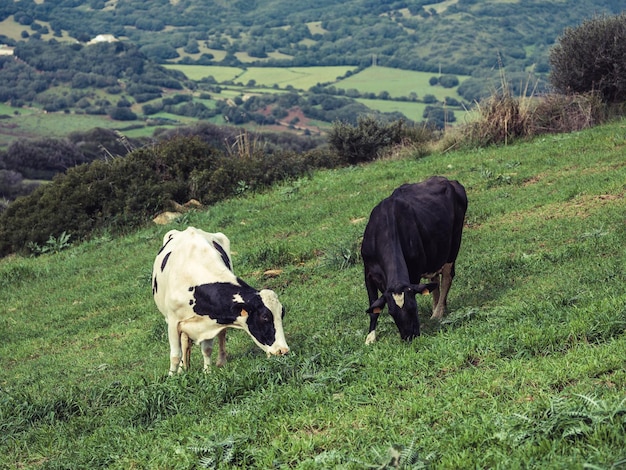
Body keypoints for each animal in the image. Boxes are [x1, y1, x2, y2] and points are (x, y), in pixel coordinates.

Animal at [151, 228, 288, 374]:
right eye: (264, 317)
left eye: (281, 314)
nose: (283, 351)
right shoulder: (173, 322)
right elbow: (175, 355)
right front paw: (173, 375)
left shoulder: (211, 320)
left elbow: (207, 349)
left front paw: (207, 373)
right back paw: (183, 368)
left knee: (221, 335)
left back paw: (220, 361)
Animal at [358, 174, 466, 344]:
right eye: (391, 312)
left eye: (413, 306)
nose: (410, 336)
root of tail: (446, 179)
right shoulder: (368, 273)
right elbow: (373, 308)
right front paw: (370, 337)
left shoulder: (414, 271)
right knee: (434, 280)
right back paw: (436, 308)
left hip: (454, 244)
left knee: (447, 278)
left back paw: (438, 313)